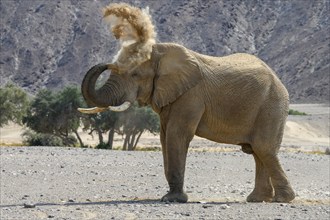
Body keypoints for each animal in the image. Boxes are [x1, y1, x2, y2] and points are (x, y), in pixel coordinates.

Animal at [78, 42, 296, 204]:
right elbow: (165, 137)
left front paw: (172, 200)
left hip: (271, 106)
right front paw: (170, 197)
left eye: (135, 75)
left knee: (263, 149)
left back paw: (282, 199)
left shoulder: (191, 95)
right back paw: (257, 199)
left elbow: (177, 135)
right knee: (257, 152)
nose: (107, 64)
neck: (160, 52)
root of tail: (279, 81)